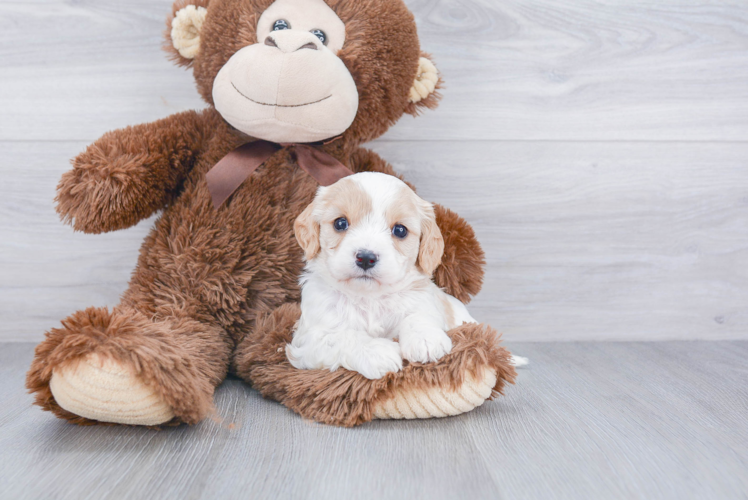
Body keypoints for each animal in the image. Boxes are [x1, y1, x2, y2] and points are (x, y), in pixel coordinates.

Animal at [286, 172, 480, 378]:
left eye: (400, 230)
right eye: (340, 223)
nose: (365, 258)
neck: (369, 298)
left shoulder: (421, 299)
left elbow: (419, 314)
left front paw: (425, 339)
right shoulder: (308, 339)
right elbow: (341, 336)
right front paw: (376, 351)